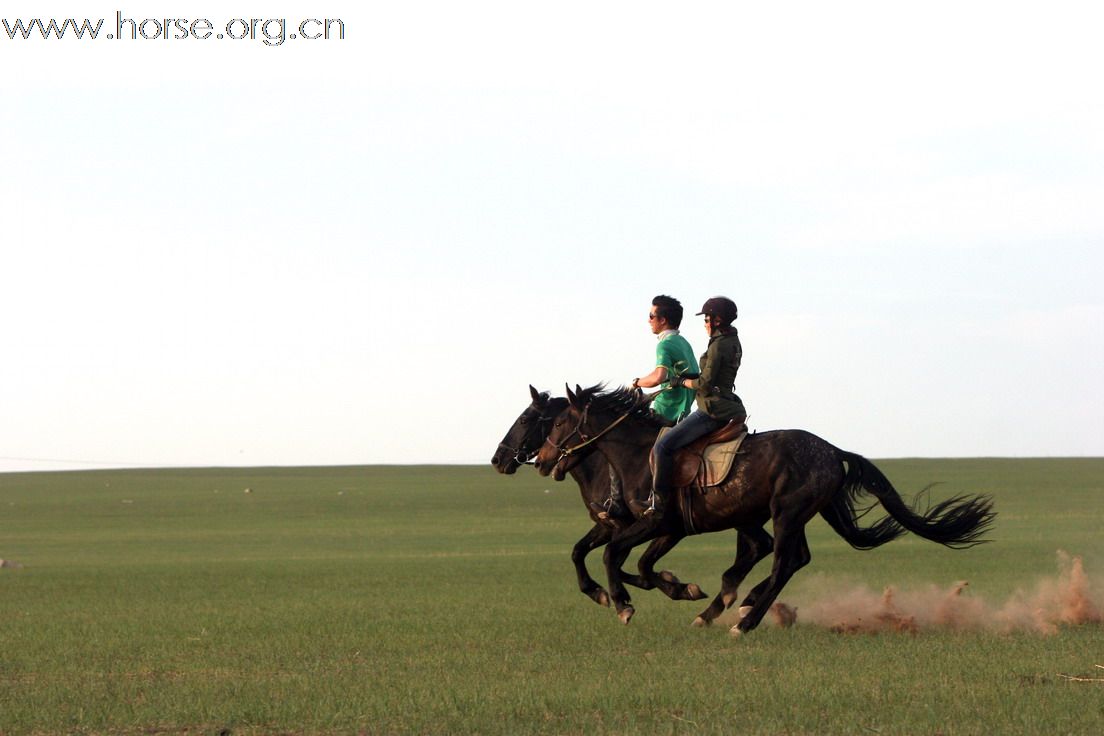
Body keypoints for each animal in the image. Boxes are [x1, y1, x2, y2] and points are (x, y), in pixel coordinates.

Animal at [529, 388, 998, 635]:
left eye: (558, 423)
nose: (543, 460)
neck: (636, 455)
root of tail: (832, 451)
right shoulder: (655, 527)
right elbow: (622, 560)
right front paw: (677, 590)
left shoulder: (657, 522)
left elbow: (618, 557)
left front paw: (625, 603)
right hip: (787, 514)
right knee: (789, 557)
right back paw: (729, 606)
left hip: (785, 512)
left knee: (783, 561)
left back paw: (744, 619)